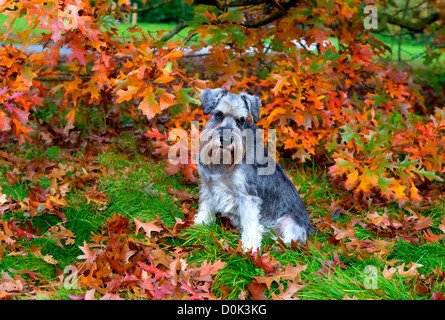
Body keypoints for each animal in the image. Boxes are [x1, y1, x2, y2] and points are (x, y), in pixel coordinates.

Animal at [193, 88, 314, 252]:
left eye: (241, 120)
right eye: (219, 114)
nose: (226, 140)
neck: (223, 163)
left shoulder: (247, 196)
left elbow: (250, 222)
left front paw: (250, 247)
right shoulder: (208, 184)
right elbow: (205, 206)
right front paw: (200, 225)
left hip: (289, 222)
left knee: (290, 241)